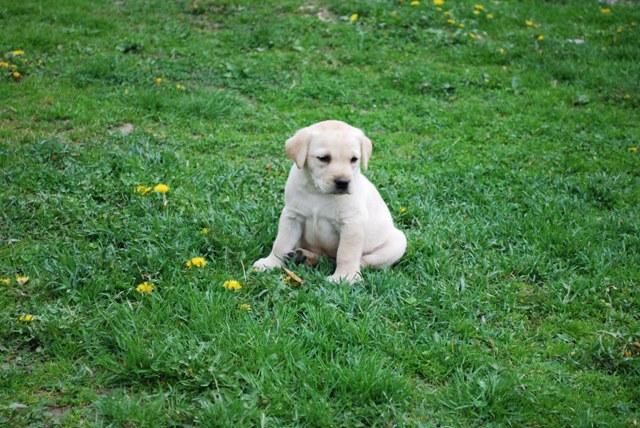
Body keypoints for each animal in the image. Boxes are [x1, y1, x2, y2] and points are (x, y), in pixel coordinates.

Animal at [254, 119, 408, 284]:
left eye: (354, 159)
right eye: (323, 158)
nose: (343, 182)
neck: (318, 192)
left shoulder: (351, 224)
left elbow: (346, 254)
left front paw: (344, 277)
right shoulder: (292, 216)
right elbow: (281, 243)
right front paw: (270, 263)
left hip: (397, 243)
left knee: (362, 261)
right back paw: (304, 257)